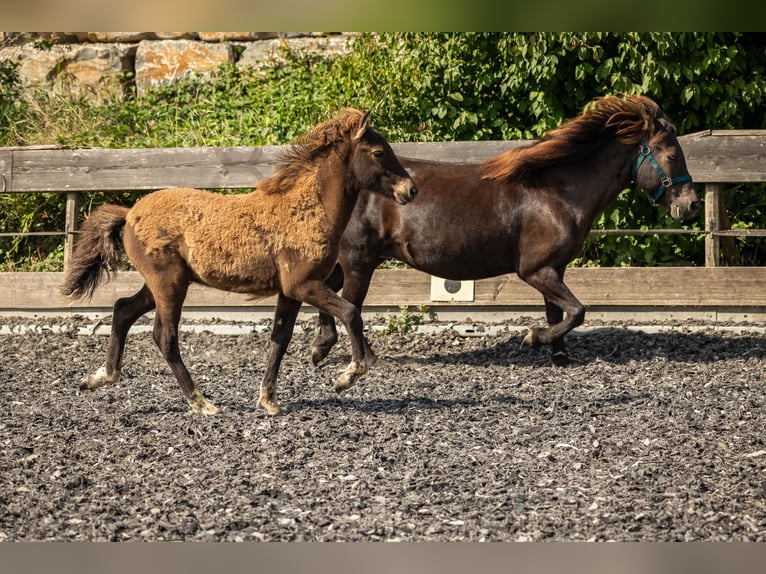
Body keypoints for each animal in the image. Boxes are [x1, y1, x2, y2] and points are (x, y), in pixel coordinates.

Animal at [58, 109, 420, 414]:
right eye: (378, 152)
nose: (411, 190)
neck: (306, 208)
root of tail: (130, 213)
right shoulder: (304, 285)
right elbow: (351, 312)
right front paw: (347, 376)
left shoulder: (289, 291)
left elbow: (279, 339)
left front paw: (269, 400)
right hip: (168, 283)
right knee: (164, 336)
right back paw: (202, 403)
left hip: (161, 283)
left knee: (122, 310)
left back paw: (100, 377)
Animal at [310, 94, 704, 364]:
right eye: (672, 155)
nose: (691, 205)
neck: (558, 193)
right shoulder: (535, 270)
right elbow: (577, 311)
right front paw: (533, 339)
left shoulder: (554, 269)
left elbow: (559, 312)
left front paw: (560, 356)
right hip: (359, 261)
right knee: (349, 305)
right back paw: (363, 358)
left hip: (353, 260)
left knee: (327, 291)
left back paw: (320, 348)